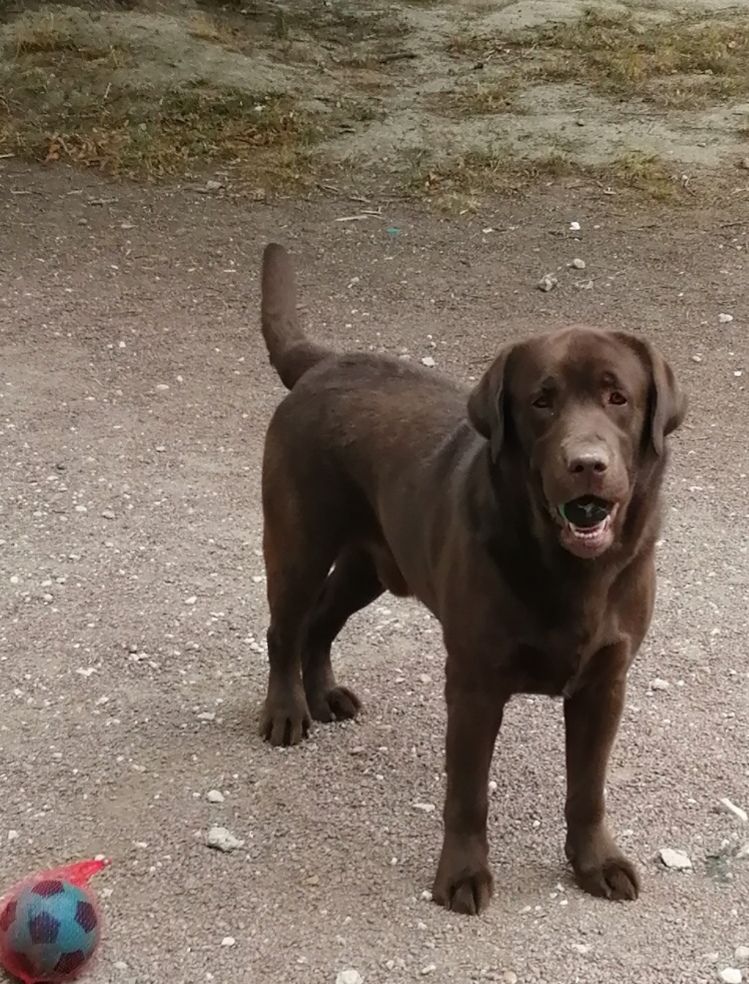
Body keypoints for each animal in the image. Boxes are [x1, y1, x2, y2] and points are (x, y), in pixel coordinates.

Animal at [256, 244, 684, 916]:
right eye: (541, 401)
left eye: (619, 398)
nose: (586, 464)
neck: (568, 569)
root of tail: (323, 362)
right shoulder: (474, 685)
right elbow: (468, 794)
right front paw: (461, 874)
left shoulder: (605, 685)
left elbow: (587, 789)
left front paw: (596, 862)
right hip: (299, 545)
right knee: (285, 628)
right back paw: (287, 711)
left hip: (370, 565)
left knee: (321, 624)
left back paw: (324, 694)